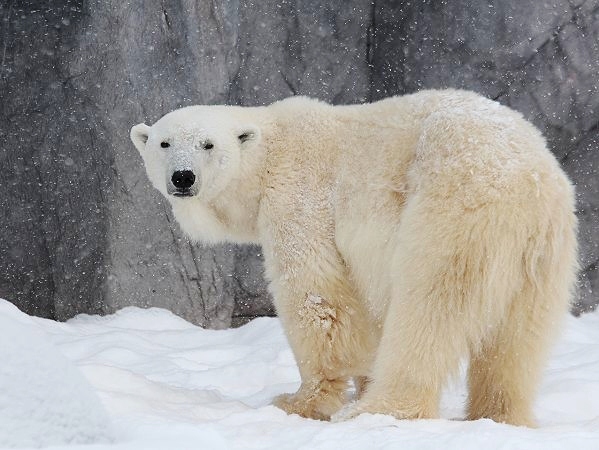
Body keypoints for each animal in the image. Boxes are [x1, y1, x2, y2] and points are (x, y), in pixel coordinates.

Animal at [130, 89, 576, 428]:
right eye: (164, 143)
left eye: (208, 144)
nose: (183, 177)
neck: (271, 150)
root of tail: (529, 180)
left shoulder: (299, 200)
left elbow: (317, 298)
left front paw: (300, 402)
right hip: (545, 254)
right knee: (517, 341)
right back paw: (499, 415)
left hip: (453, 209)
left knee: (428, 309)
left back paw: (379, 410)